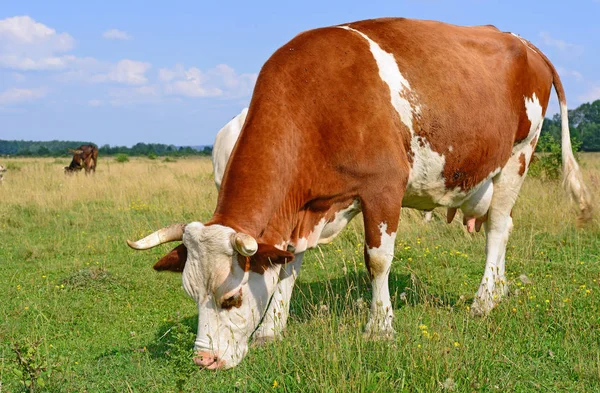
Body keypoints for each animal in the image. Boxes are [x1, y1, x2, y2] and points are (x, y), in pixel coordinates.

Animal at [126, 17, 592, 368]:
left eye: (231, 298)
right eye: (190, 294)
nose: (203, 361)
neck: (314, 103)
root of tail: (523, 42)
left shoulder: (383, 189)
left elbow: (377, 260)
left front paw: (380, 328)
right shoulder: (302, 212)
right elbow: (287, 265)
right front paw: (272, 329)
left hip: (518, 154)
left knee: (498, 227)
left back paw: (484, 300)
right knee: (504, 224)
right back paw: (499, 289)